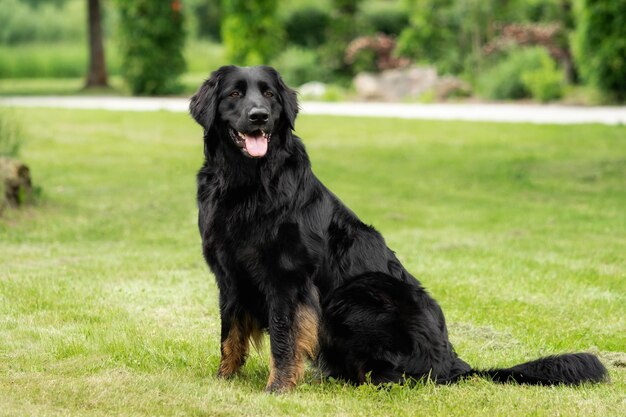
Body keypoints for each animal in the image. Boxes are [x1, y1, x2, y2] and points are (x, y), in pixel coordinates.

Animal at [189, 64, 604, 390]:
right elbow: (230, 334)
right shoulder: (228, 275)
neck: (247, 183)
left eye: (270, 95)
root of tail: (455, 362)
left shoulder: (287, 278)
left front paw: (279, 388)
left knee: (405, 376)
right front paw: (224, 379)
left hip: (356, 295)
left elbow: (284, 338)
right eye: (234, 94)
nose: (259, 115)